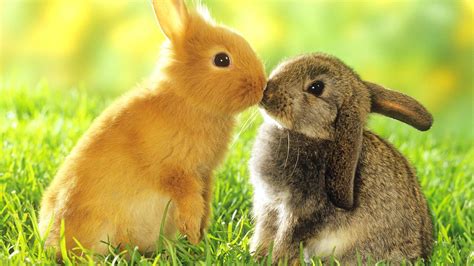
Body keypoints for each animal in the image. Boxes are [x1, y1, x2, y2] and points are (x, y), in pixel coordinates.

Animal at [38, 0, 266, 258]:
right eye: (221, 60)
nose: (262, 85)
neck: (188, 99)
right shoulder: (176, 172)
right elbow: (190, 201)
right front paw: (193, 234)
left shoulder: (204, 174)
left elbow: (204, 201)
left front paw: (200, 235)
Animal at [250, 52, 436, 264]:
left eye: (316, 87)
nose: (267, 92)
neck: (318, 136)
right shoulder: (269, 205)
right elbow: (264, 233)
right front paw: (256, 256)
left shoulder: (302, 210)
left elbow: (286, 238)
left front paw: (274, 260)